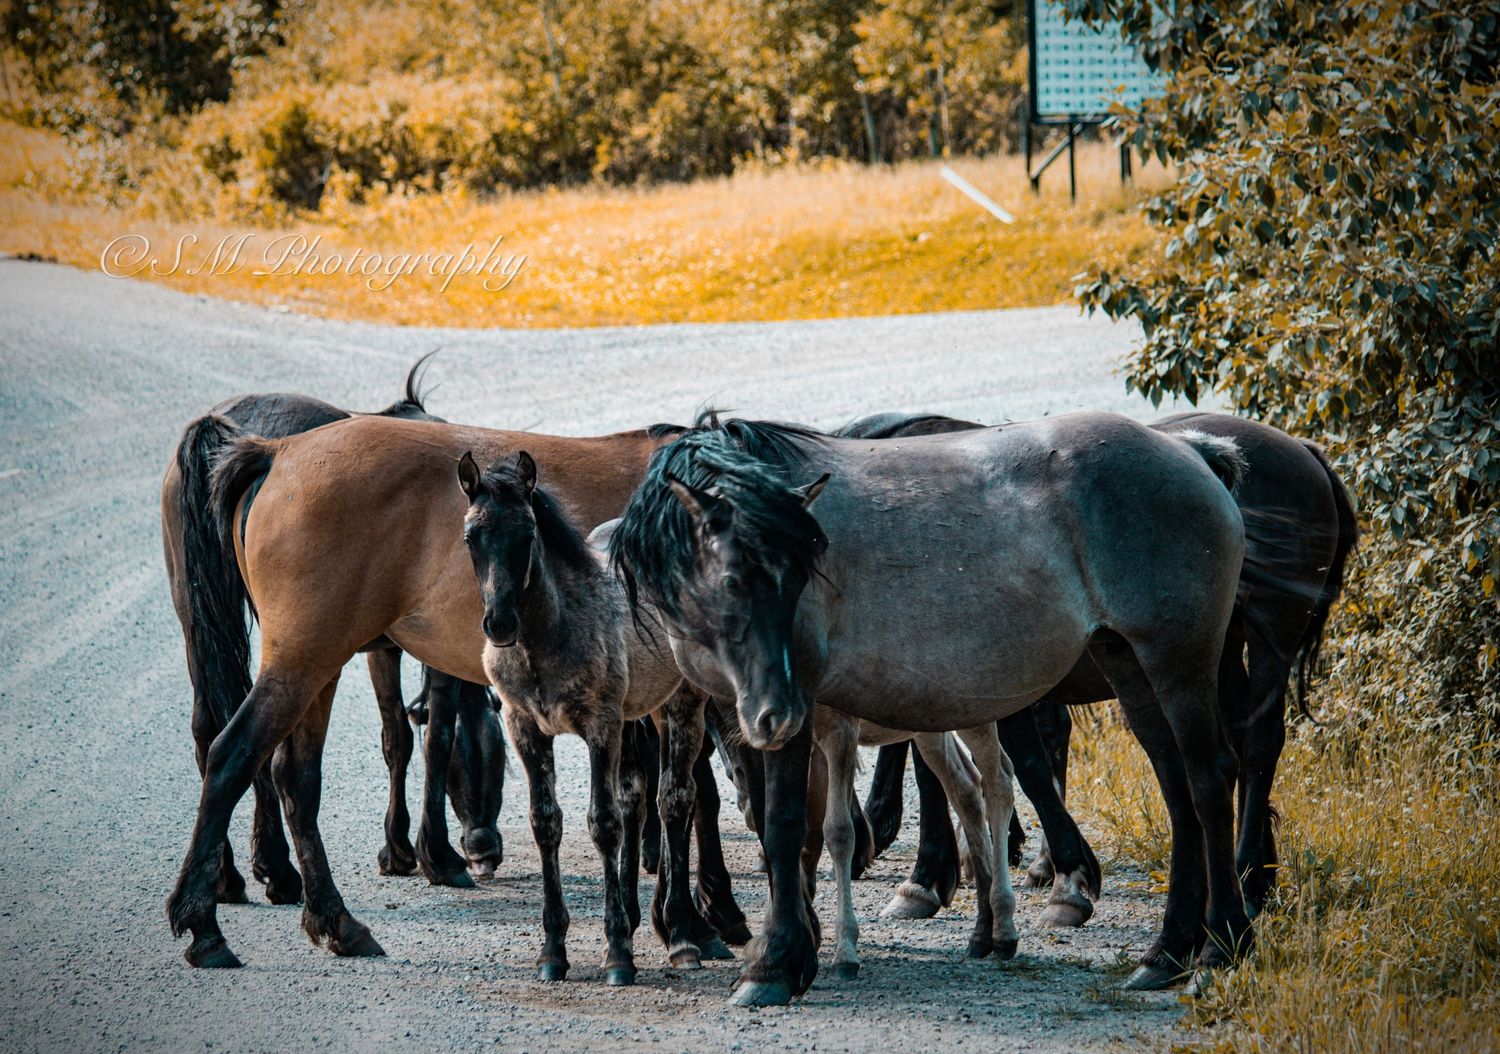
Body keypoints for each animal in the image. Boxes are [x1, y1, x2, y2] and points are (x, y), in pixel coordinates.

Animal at [160, 358, 505, 902]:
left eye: (501, 758)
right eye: (478, 761)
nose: (485, 847)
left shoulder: (384, 646)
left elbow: (396, 736)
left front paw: (398, 850)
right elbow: (436, 734)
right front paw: (436, 854)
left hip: (196, 617)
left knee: (208, 726)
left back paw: (231, 874)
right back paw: (276, 869)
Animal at [164, 413, 743, 973]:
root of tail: (276, 451)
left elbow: (662, 795)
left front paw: (676, 918)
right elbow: (690, 796)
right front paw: (698, 919)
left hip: (316, 666)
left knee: (294, 777)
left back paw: (334, 921)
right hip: (301, 660)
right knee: (231, 755)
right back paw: (204, 924)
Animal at [611, 413, 1251, 1003]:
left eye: (801, 573)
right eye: (734, 579)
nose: (780, 710)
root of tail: (1187, 449)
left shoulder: (804, 716)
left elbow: (788, 825)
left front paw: (774, 967)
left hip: (1178, 662)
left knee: (1208, 781)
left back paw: (1219, 951)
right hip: (1130, 664)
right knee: (1176, 790)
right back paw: (1166, 954)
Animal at [847, 411, 1357, 918]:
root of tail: (1303, 451)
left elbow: (1006, 765)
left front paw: (935, 874)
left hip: (1269, 636)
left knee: (1260, 743)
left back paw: (1248, 877)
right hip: (1214, 651)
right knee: (1237, 737)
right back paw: (1254, 872)